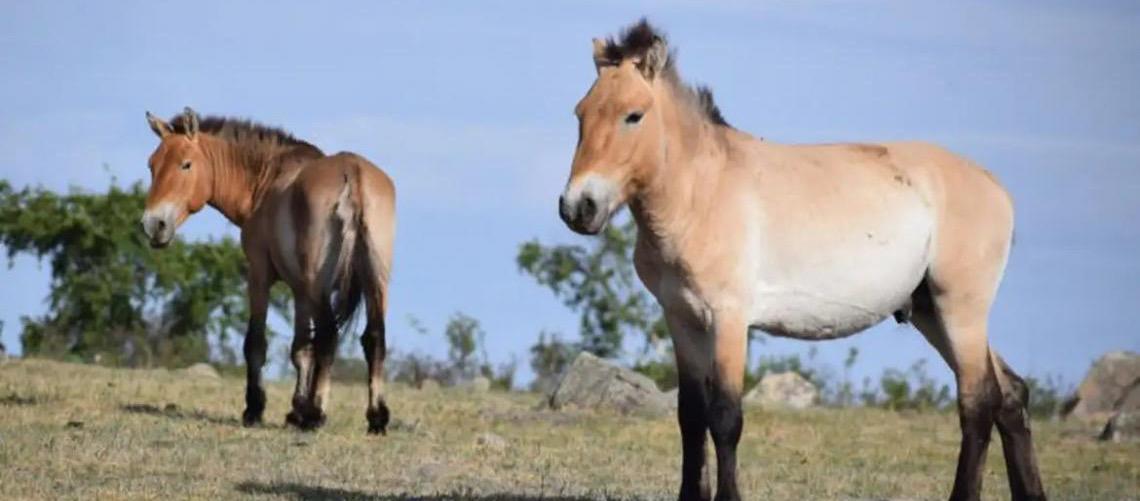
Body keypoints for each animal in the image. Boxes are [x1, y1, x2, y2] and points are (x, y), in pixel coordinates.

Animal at [141, 108, 396, 434]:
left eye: (186, 164)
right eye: (152, 165)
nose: (153, 225)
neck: (266, 179)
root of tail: (354, 175)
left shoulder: (260, 275)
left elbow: (257, 343)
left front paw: (256, 409)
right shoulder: (300, 292)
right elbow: (302, 349)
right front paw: (295, 410)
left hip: (320, 285)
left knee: (329, 335)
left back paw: (316, 414)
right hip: (375, 284)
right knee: (374, 338)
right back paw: (376, 418)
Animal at [558, 20, 1045, 501]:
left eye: (633, 115)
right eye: (581, 114)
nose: (578, 207)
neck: (702, 193)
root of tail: (996, 188)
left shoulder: (729, 318)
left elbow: (725, 417)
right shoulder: (682, 318)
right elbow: (691, 416)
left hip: (961, 308)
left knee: (978, 402)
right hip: (929, 311)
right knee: (1010, 393)